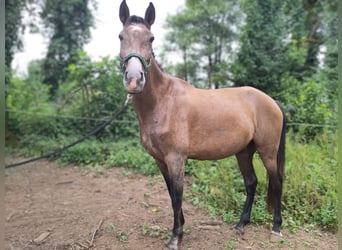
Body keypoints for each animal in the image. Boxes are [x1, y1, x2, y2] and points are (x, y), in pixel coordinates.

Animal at [119, 0, 284, 249]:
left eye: (151, 38)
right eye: (121, 36)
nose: (134, 79)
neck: (163, 101)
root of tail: (271, 101)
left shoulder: (176, 159)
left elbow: (177, 196)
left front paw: (175, 237)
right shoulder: (160, 160)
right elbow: (171, 194)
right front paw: (181, 230)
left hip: (267, 152)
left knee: (275, 181)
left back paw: (275, 228)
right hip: (244, 152)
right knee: (251, 183)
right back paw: (241, 225)